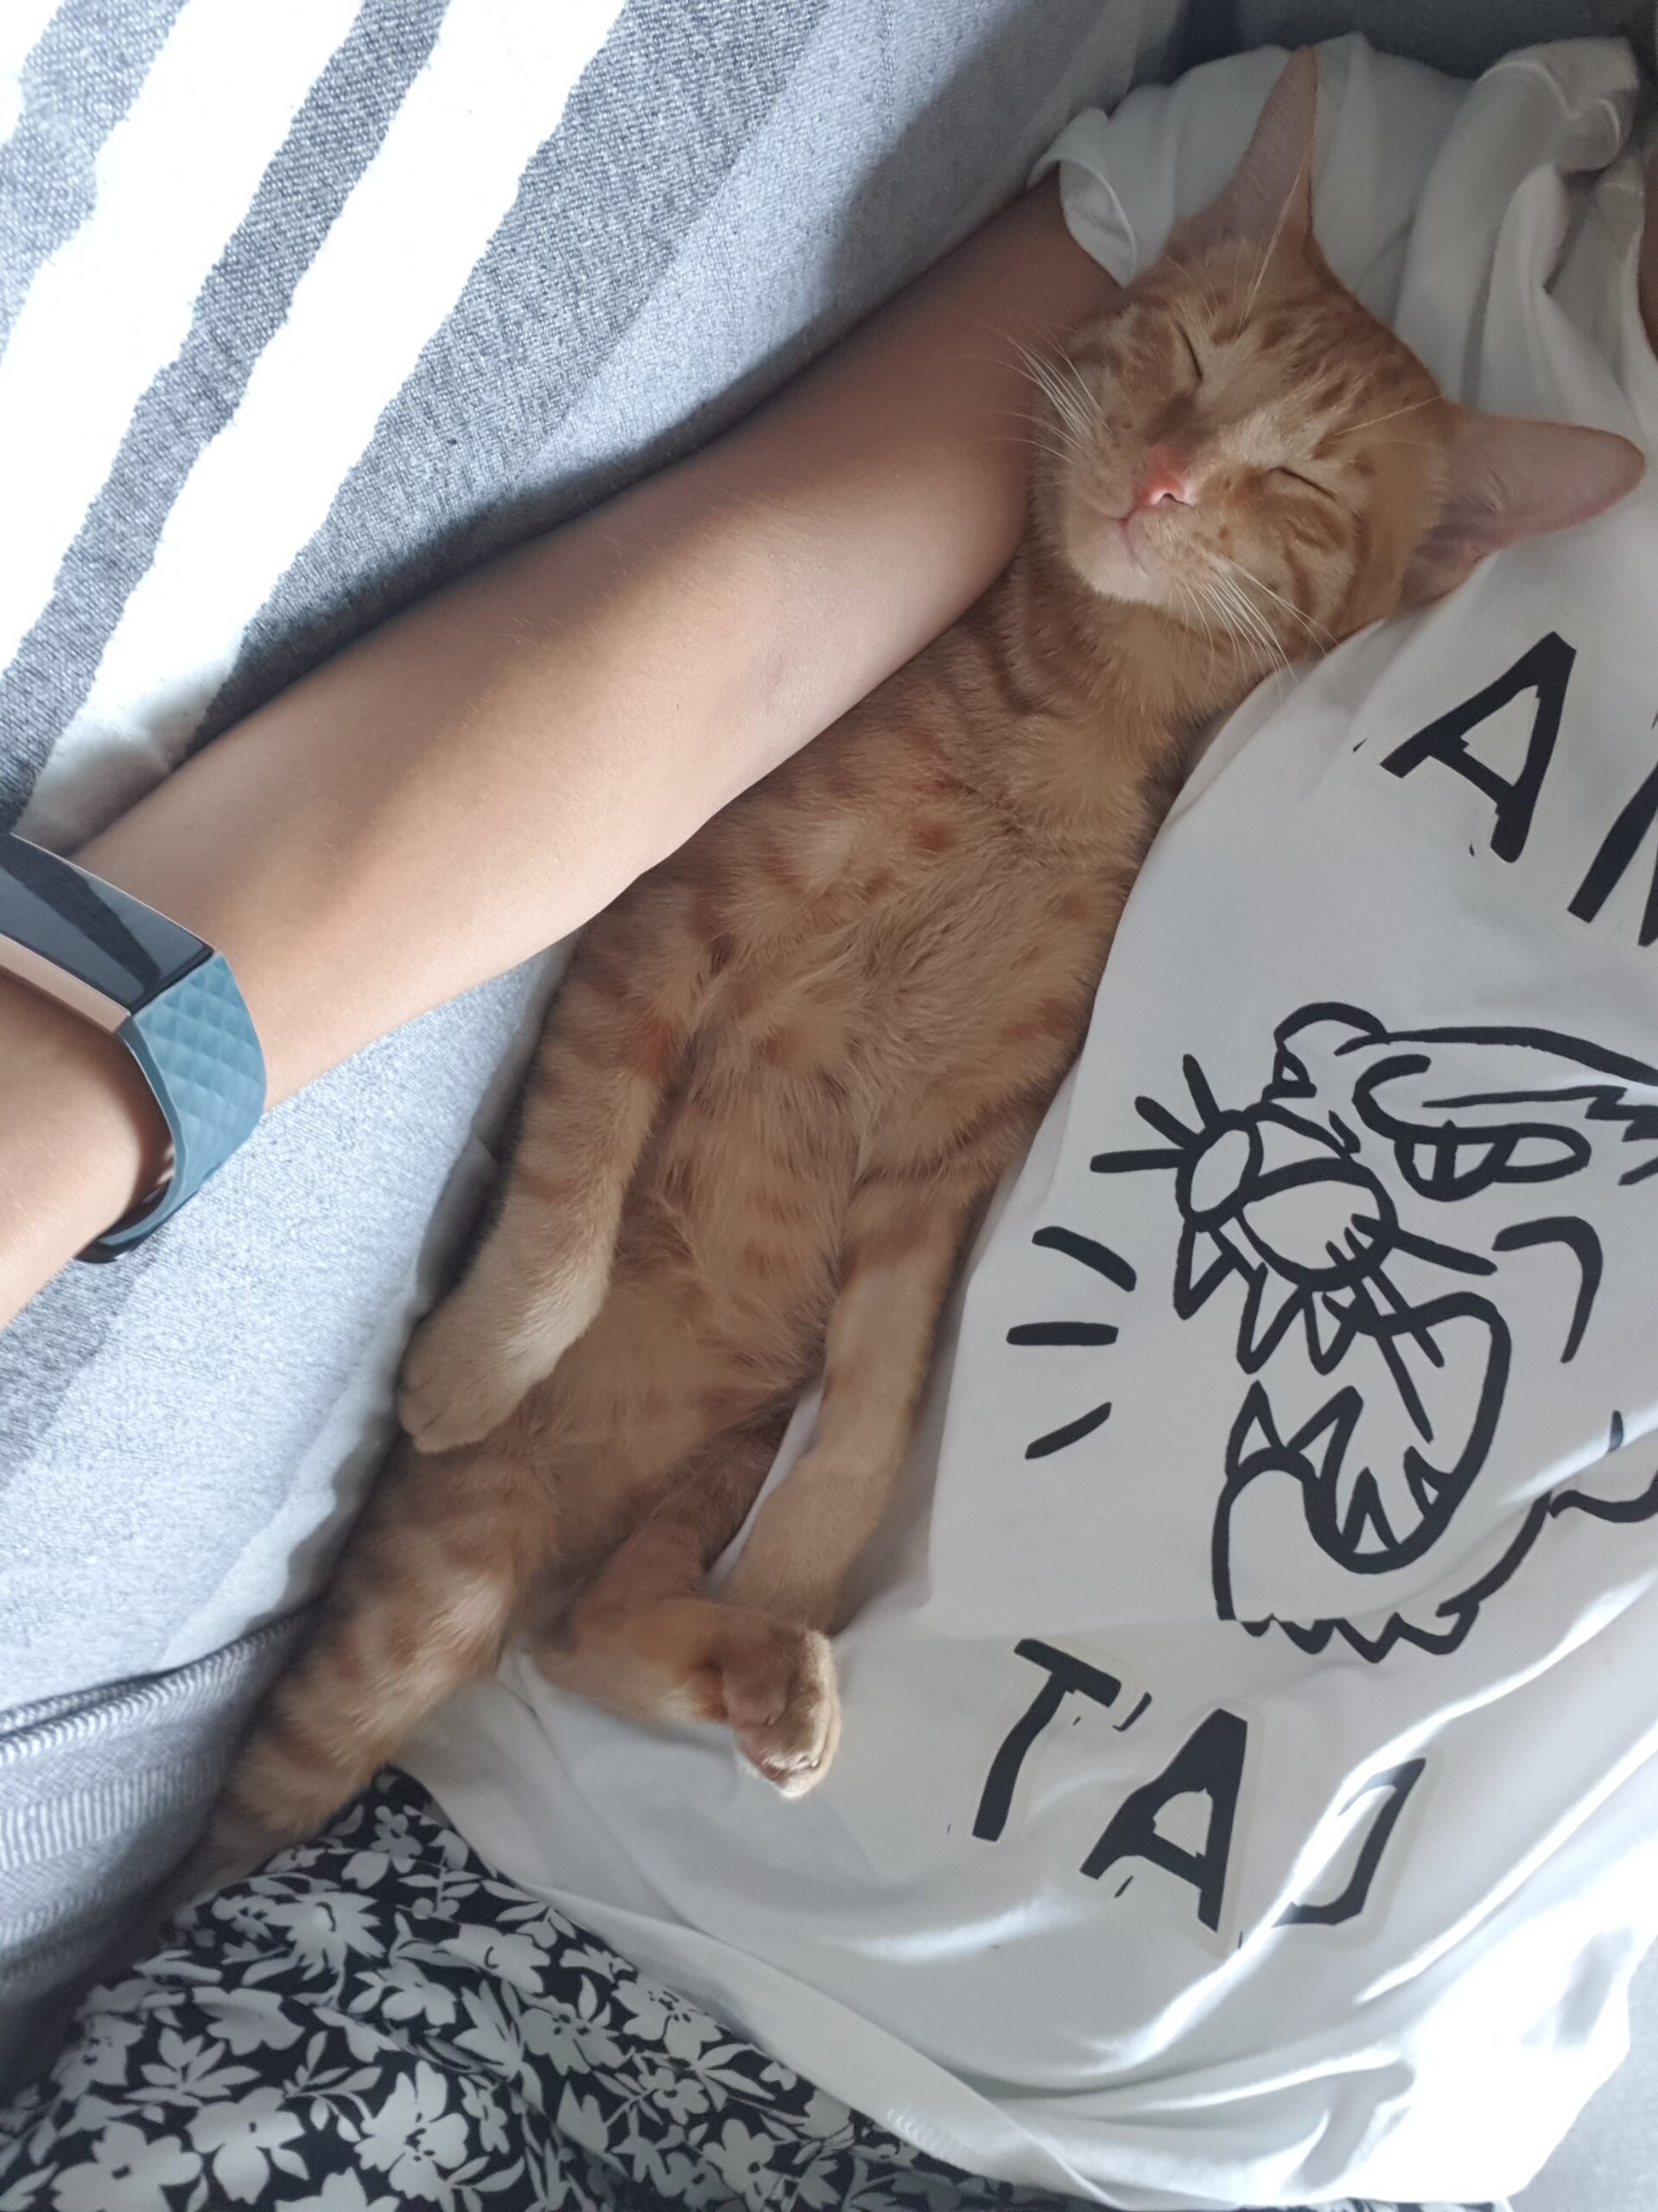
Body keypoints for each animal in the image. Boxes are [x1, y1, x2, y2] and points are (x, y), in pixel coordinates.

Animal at [215, 52, 1641, 1861]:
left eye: (1299, 483)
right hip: (419, 1612)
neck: (1069, 738)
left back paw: (767, 1665)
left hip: (663, 1489)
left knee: (588, 1632)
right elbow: (575, 1185)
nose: (1161, 483)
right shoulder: (662, 930)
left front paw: (805, 1567)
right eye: (1185, 358)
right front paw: (483, 1353)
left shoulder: (945, 1151)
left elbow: (885, 1393)